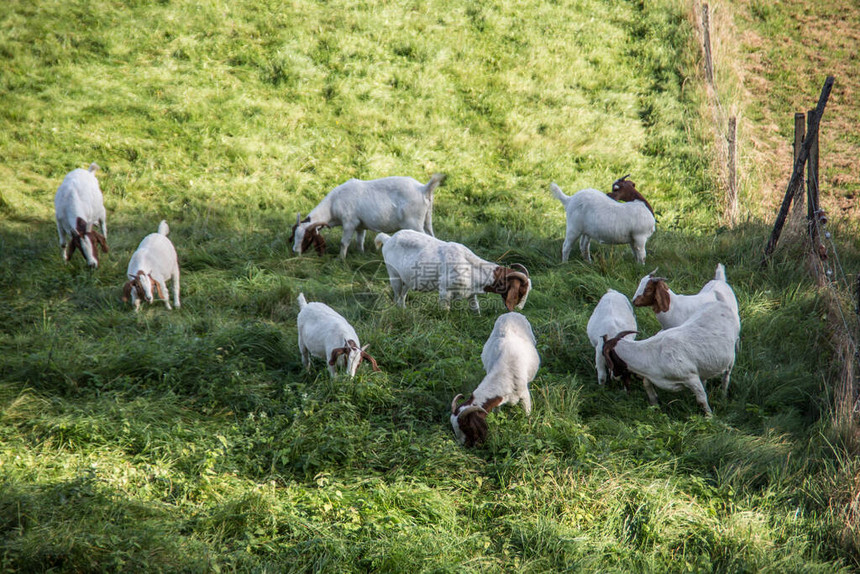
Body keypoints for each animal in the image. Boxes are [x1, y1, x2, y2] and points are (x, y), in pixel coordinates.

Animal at [290, 173, 446, 258]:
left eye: (308, 237)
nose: (295, 252)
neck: (333, 204)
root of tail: (423, 189)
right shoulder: (360, 225)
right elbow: (360, 241)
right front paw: (361, 255)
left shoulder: (350, 222)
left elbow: (344, 242)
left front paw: (341, 259)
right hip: (427, 220)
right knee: (432, 236)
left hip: (414, 223)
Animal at [378, 228, 532, 316]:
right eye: (521, 291)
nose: (519, 309)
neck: (471, 266)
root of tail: (388, 239)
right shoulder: (444, 291)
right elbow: (445, 311)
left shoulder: (470, 293)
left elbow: (475, 308)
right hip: (394, 276)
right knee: (397, 296)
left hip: (407, 279)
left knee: (402, 296)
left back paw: (404, 310)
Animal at [450, 312, 536, 448]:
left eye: (468, 428)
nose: (465, 445)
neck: (505, 372)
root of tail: (511, 313)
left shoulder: (524, 394)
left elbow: (527, 414)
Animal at [604, 292, 740, 418]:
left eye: (607, 358)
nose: (613, 376)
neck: (653, 352)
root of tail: (721, 304)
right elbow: (646, 383)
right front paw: (655, 405)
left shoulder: (691, 377)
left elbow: (701, 399)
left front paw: (710, 417)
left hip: (732, 354)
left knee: (726, 377)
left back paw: (723, 396)